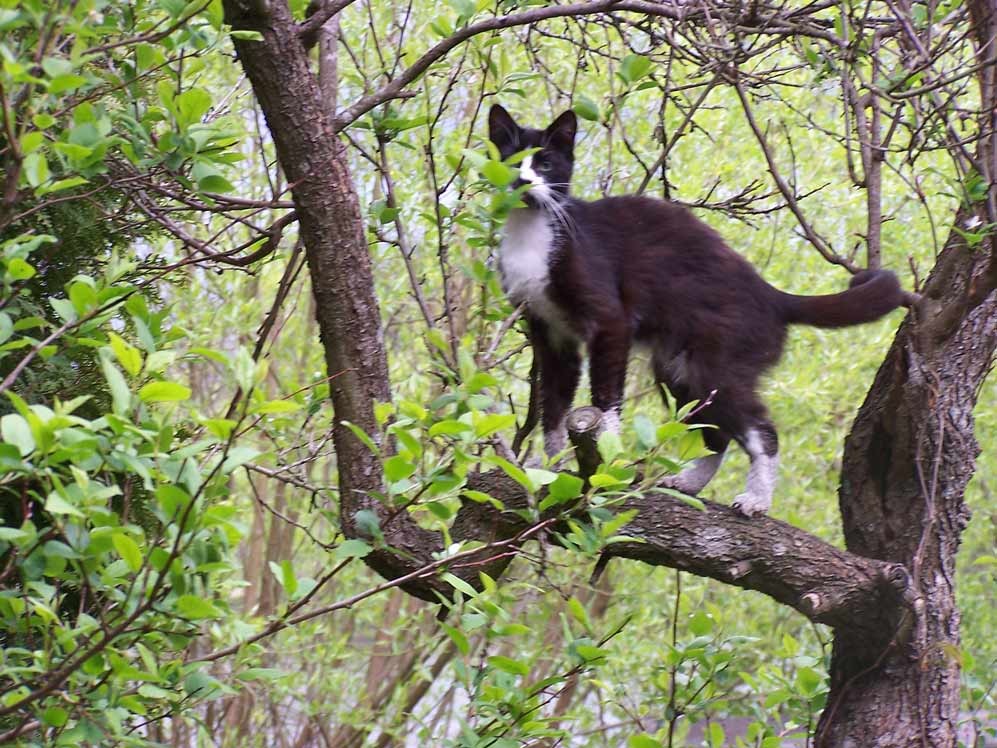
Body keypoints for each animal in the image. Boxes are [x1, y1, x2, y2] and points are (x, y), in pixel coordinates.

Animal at [486, 103, 908, 516]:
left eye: (545, 163)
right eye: (511, 160)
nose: (523, 181)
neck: (531, 233)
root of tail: (771, 295)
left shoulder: (610, 320)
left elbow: (606, 399)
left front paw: (608, 459)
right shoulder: (550, 333)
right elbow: (554, 407)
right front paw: (549, 469)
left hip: (716, 360)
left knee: (760, 430)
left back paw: (756, 499)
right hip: (677, 367)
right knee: (716, 433)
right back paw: (690, 483)